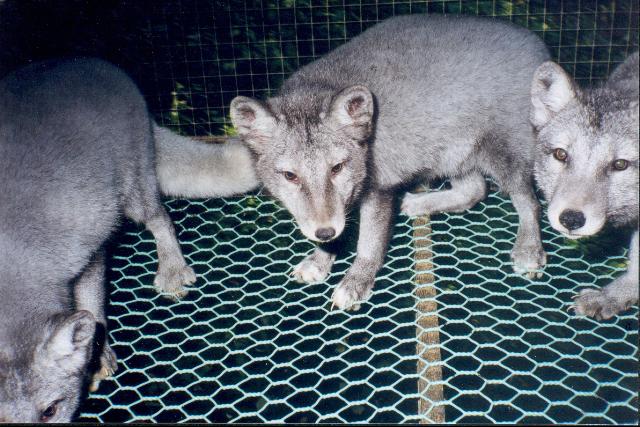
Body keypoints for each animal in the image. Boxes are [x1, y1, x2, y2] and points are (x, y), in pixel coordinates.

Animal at [0, 58, 260, 422]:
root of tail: (99, 64)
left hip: (135, 183)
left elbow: (93, 309)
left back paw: (172, 268)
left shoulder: (89, 248)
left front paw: (97, 357)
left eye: (50, 410)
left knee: (159, 217)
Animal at [229, 15, 552, 312]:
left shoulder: (377, 188)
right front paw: (322, 257)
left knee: (529, 202)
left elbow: (368, 245)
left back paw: (529, 248)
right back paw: (420, 203)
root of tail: (537, 44)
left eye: (337, 168)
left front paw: (355, 282)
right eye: (290, 175)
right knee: (474, 190)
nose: (325, 232)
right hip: (452, 153)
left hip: (502, 153)